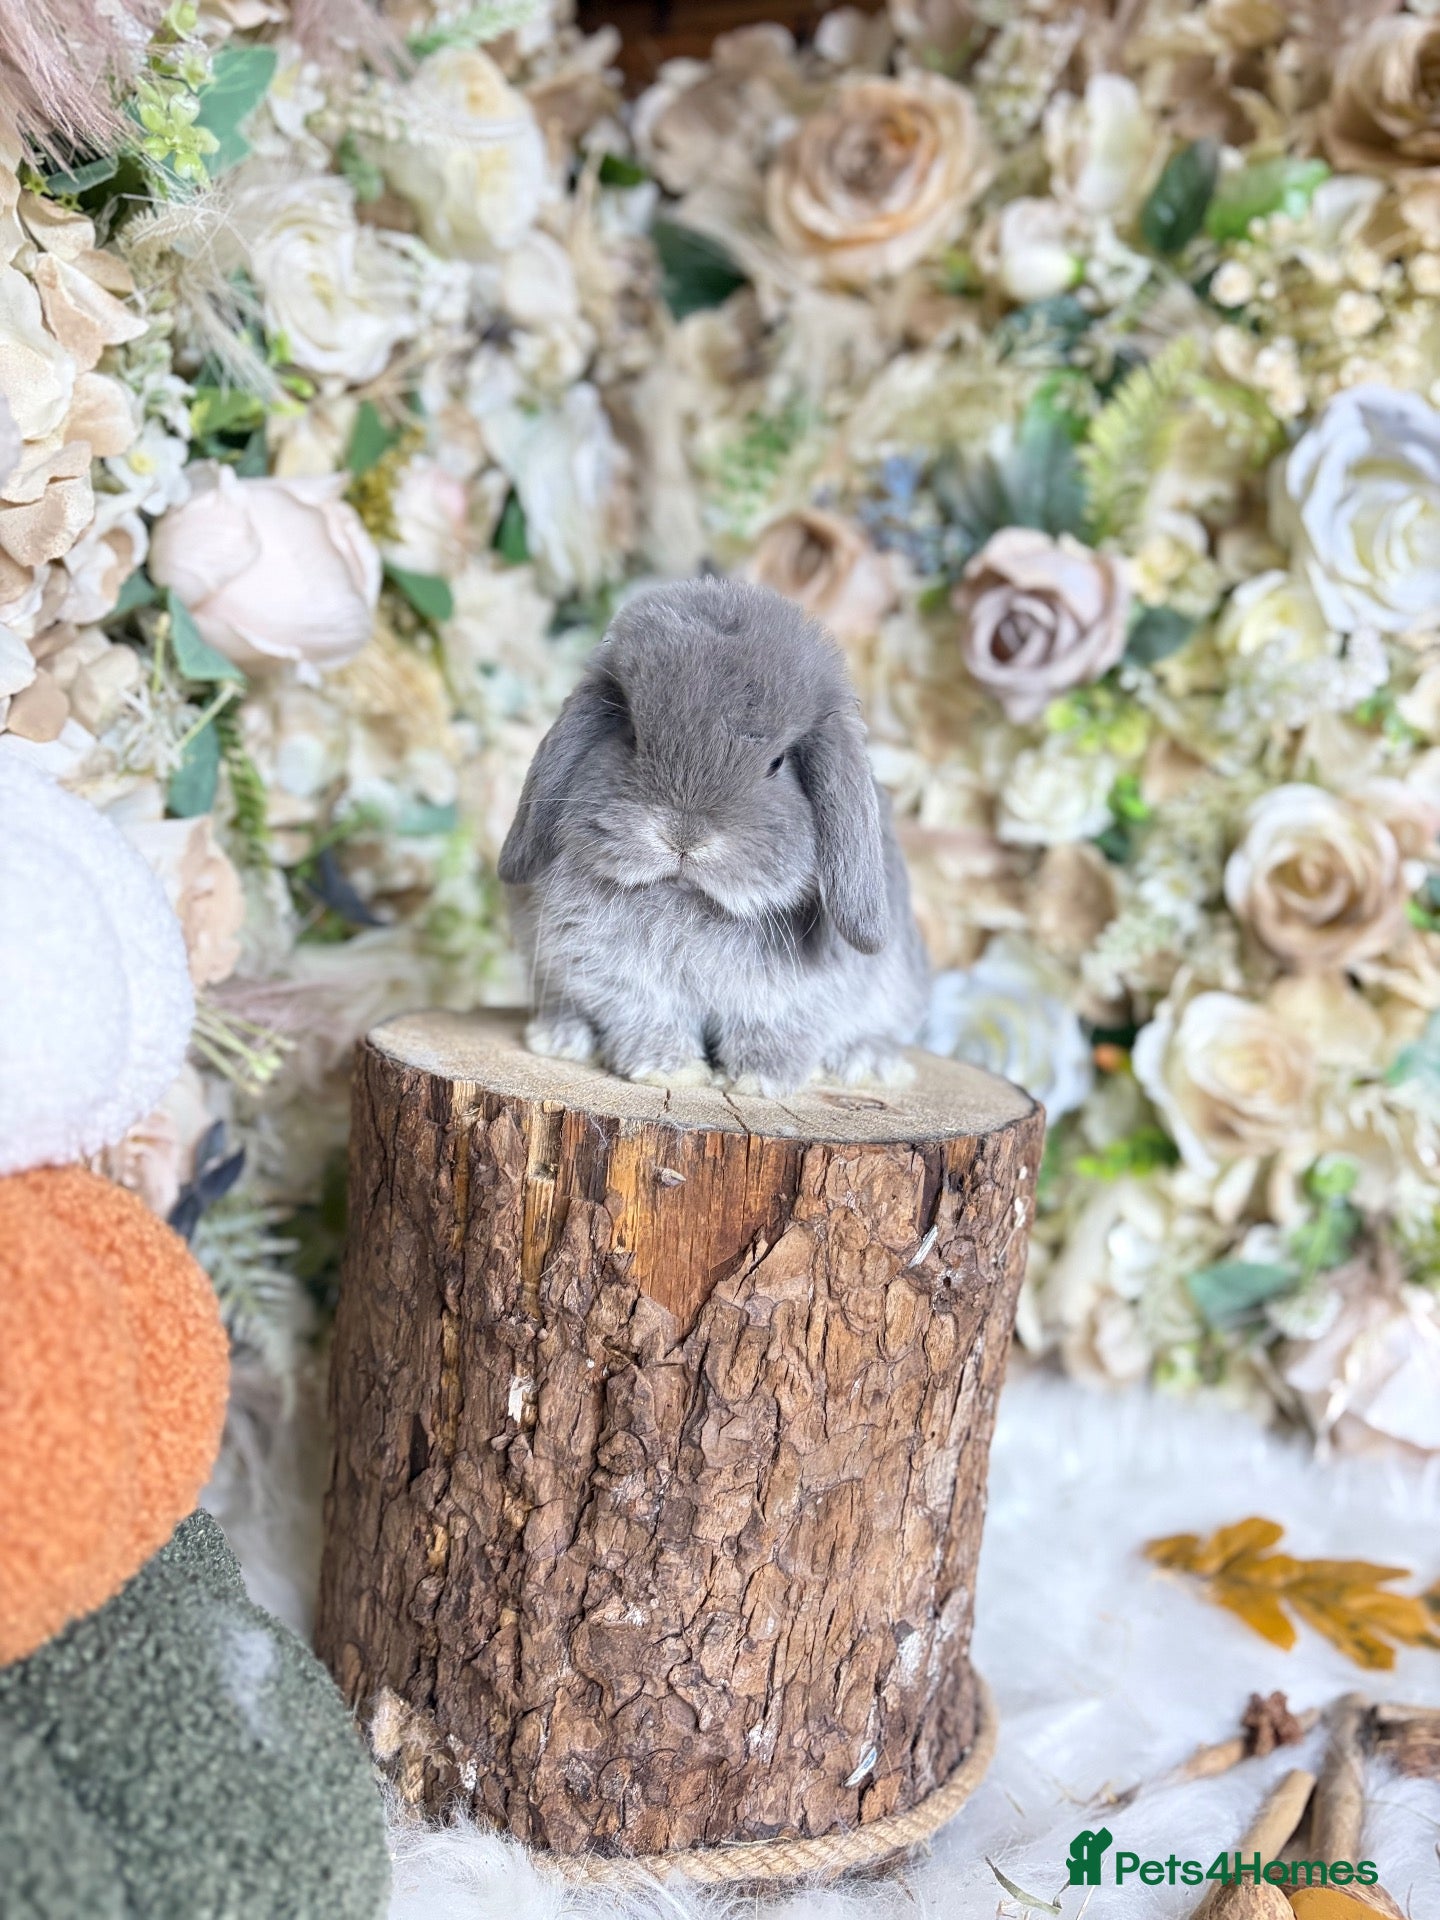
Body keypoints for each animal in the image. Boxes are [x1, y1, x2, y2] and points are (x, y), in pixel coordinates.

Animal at [498, 576, 929, 1097]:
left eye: (777, 763)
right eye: (633, 736)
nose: (683, 836)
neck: (691, 901)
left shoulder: (795, 999)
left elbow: (774, 1029)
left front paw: (758, 1080)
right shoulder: (611, 973)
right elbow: (645, 1015)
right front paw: (669, 1069)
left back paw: (869, 1063)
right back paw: (561, 1037)